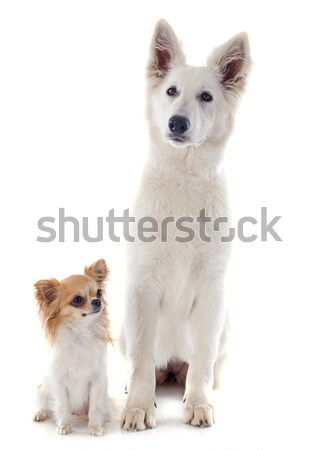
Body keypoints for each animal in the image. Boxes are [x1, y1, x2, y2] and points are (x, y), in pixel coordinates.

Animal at [32, 260, 112, 436]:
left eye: (99, 293)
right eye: (77, 300)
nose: (97, 301)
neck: (81, 334)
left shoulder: (97, 382)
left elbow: (95, 408)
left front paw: (95, 427)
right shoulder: (59, 382)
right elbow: (62, 406)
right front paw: (64, 425)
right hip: (43, 388)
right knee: (45, 403)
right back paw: (41, 413)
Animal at [121, 19, 251, 430]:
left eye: (206, 96)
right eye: (171, 91)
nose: (177, 122)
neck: (184, 178)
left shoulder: (212, 290)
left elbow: (203, 359)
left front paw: (198, 402)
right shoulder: (141, 286)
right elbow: (142, 360)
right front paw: (139, 406)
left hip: (226, 322)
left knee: (196, 365)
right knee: (147, 364)